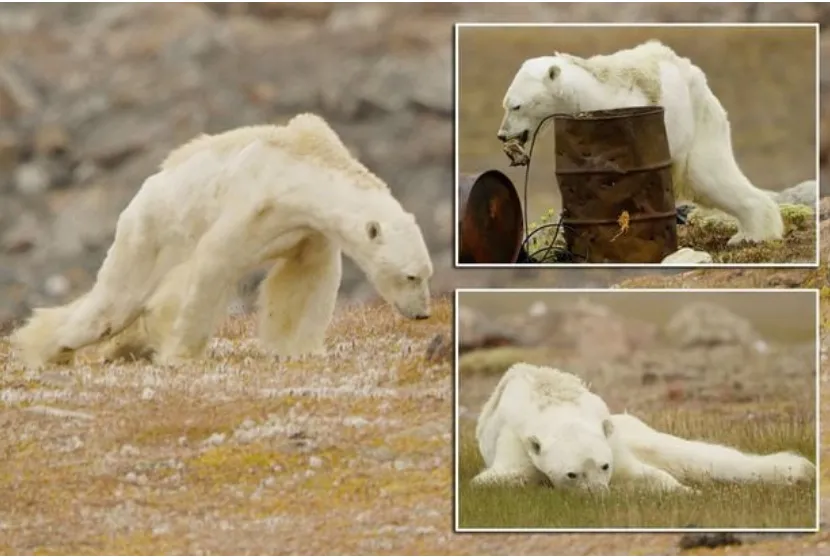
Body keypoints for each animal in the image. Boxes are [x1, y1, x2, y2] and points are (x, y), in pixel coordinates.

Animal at [11, 113, 434, 369]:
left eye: (426, 274)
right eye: (411, 276)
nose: (423, 314)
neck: (301, 170)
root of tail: (141, 193)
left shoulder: (306, 229)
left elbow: (304, 281)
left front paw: (299, 348)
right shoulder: (252, 203)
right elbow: (212, 265)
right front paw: (179, 353)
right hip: (149, 234)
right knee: (112, 305)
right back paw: (48, 347)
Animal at [472, 363, 815, 492]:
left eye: (604, 466)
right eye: (572, 473)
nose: (601, 493)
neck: (554, 405)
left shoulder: (609, 438)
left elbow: (645, 471)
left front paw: (685, 491)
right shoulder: (515, 442)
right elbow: (496, 479)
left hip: (631, 427)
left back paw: (798, 469)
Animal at [496, 40, 785, 246]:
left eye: (516, 106)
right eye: (506, 104)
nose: (502, 134)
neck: (587, 94)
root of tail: (698, 78)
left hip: (697, 125)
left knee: (710, 176)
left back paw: (753, 234)